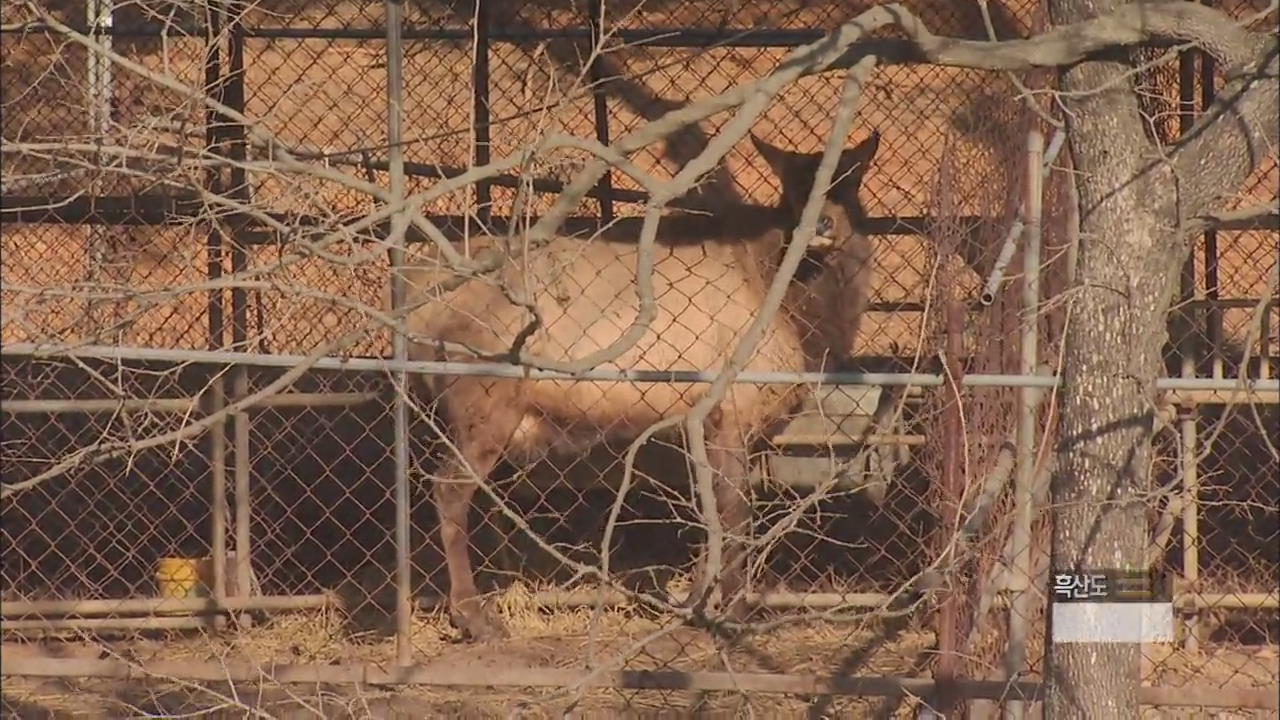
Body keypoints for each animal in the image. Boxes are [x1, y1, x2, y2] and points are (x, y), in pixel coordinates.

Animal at [399, 128, 880, 638]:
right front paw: (732, 612)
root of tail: (414, 293)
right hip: (482, 397)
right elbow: (735, 512)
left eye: (852, 179)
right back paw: (473, 616)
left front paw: (696, 601)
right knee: (449, 491)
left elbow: (711, 509)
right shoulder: (731, 406)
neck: (805, 322)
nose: (824, 225)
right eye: (792, 190)